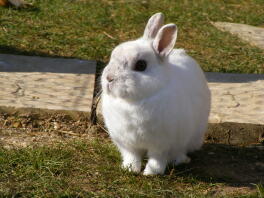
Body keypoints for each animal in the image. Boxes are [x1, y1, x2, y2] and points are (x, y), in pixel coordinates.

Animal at [100, 12, 211, 175]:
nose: (109, 78)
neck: (135, 101)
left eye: (141, 65)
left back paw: (181, 160)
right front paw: (130, 169)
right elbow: (132, 156)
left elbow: (157, 159)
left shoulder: (162, 145)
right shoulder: (127, 144)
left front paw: (151, 173)